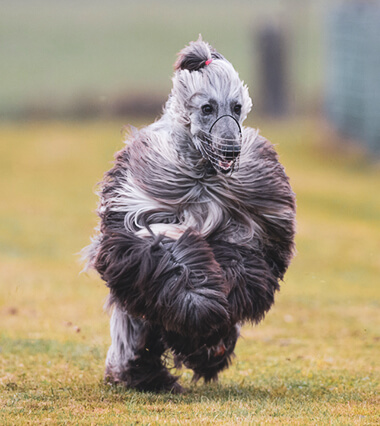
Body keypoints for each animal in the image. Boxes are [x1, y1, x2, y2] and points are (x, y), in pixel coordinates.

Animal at [84, 36, 296, 392]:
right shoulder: (141, 216)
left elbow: (242, 260)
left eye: (236, 107)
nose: (231, 149)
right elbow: (171, 257)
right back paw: (140, 372)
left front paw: (216, 321)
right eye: (207, 107)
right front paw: (199, 305)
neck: (202, 174)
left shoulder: (253, 214)